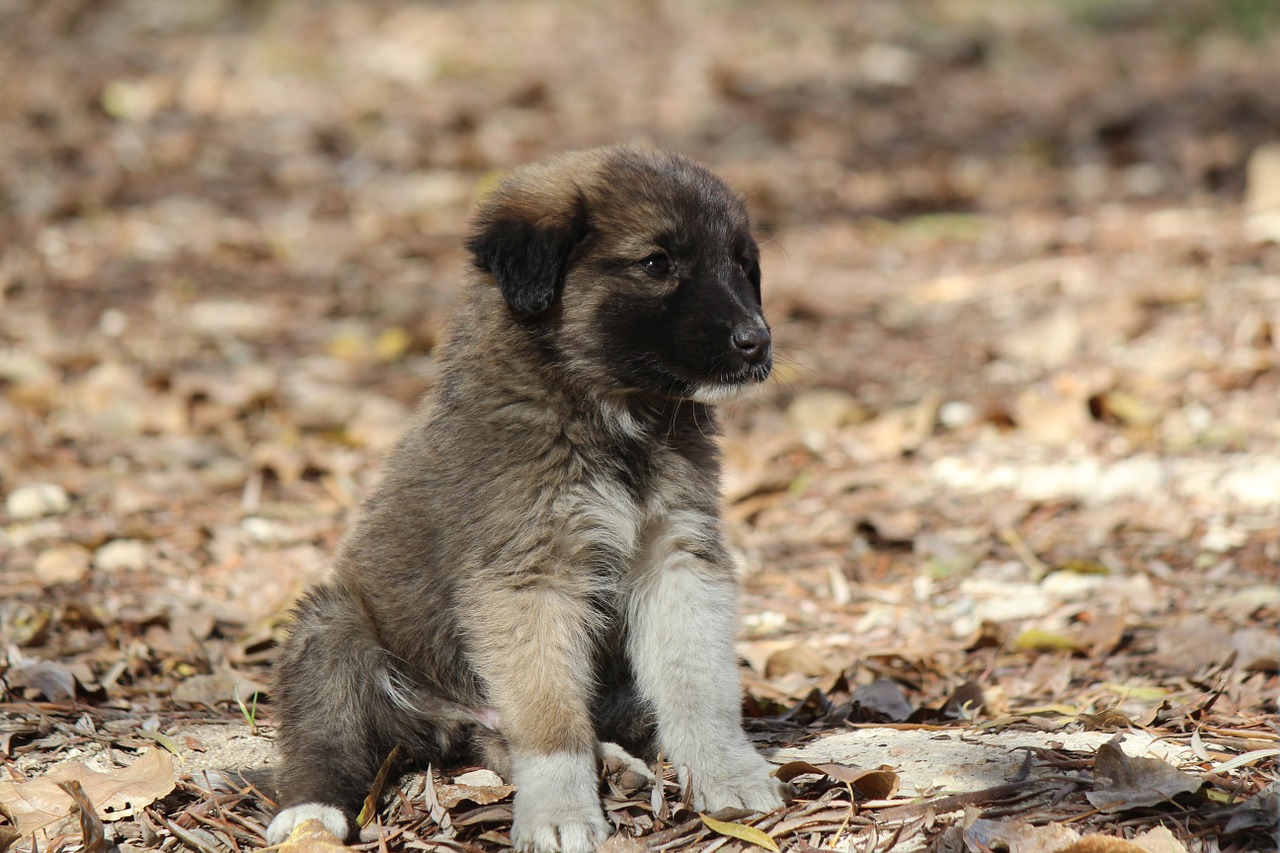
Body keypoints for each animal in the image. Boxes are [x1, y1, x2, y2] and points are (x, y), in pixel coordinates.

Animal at [268, 146, 783, 850]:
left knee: (511, 736)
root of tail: (454, 718)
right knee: (331, 736)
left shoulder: (677, 556)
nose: (757, 341)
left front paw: (726, 771)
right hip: (334, 631)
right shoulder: (529, 576)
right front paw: (560, 810)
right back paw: (310, 809)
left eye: (741, 265)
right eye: (656, 263)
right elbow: (548, 722)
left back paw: (614, 762)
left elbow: (698, 683)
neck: (614, 415)